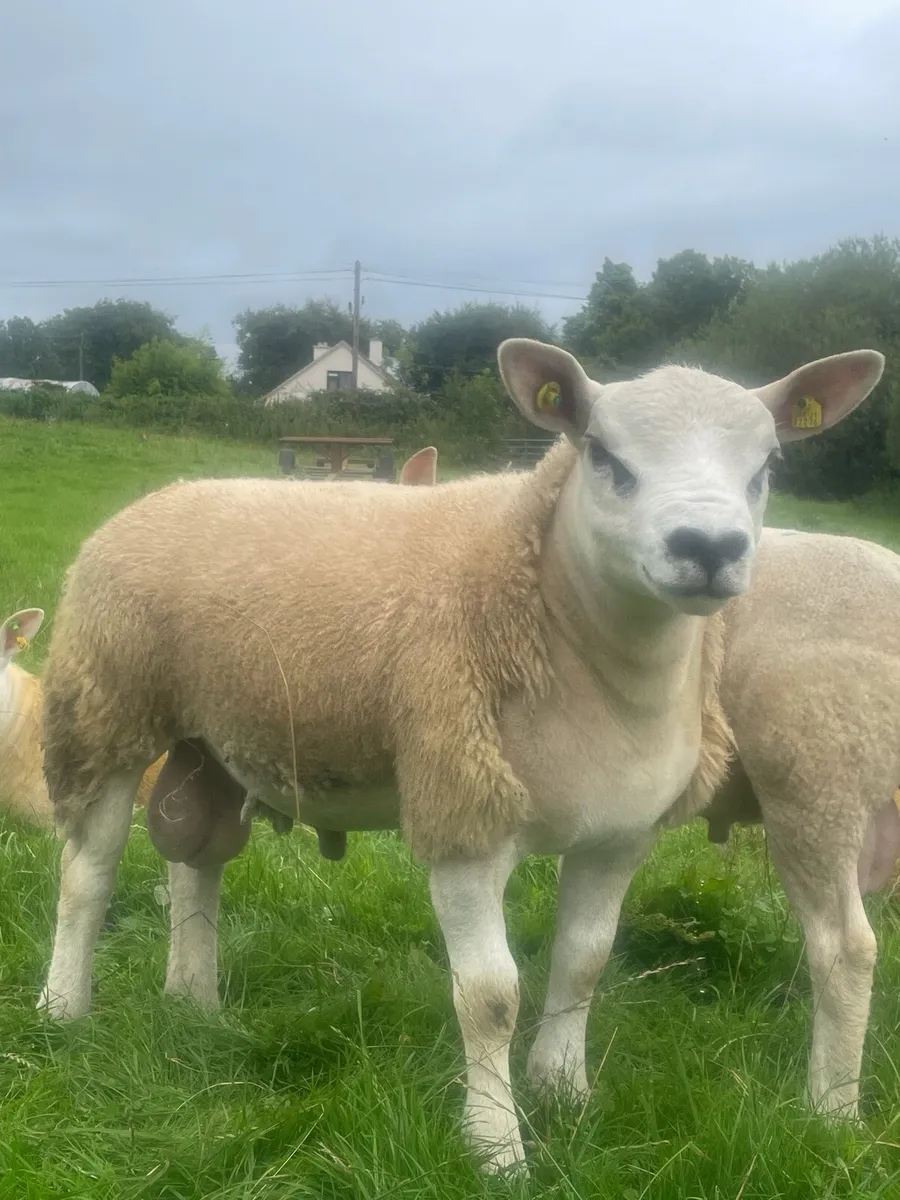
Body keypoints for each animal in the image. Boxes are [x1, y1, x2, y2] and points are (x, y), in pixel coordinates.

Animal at [36, 339, 882, 1171]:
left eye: (767, 465)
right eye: (604, 453)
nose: (708, 547)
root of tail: (169, 492)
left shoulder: (619, 833)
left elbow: (585, 962)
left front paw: (563, 1091)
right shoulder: (464, 812)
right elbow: (490, 996)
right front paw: (496, 1146)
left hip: (212, 736)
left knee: (196, 861)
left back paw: (195, 1004)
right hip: (107, 707)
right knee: (88, 873)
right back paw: (63, 1009)